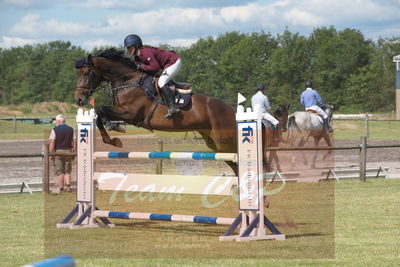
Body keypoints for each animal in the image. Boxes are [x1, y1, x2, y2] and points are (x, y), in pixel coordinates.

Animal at [74, 49, 288, 176]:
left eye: (87, 73)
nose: (79, 100)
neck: (127, 81)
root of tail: (232, 110)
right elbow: (101, 114)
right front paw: (114, 130)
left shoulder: (132, 114)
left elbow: (101, 110)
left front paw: (113, 139)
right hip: (215, 143)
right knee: (234, 164)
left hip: (224, 141)